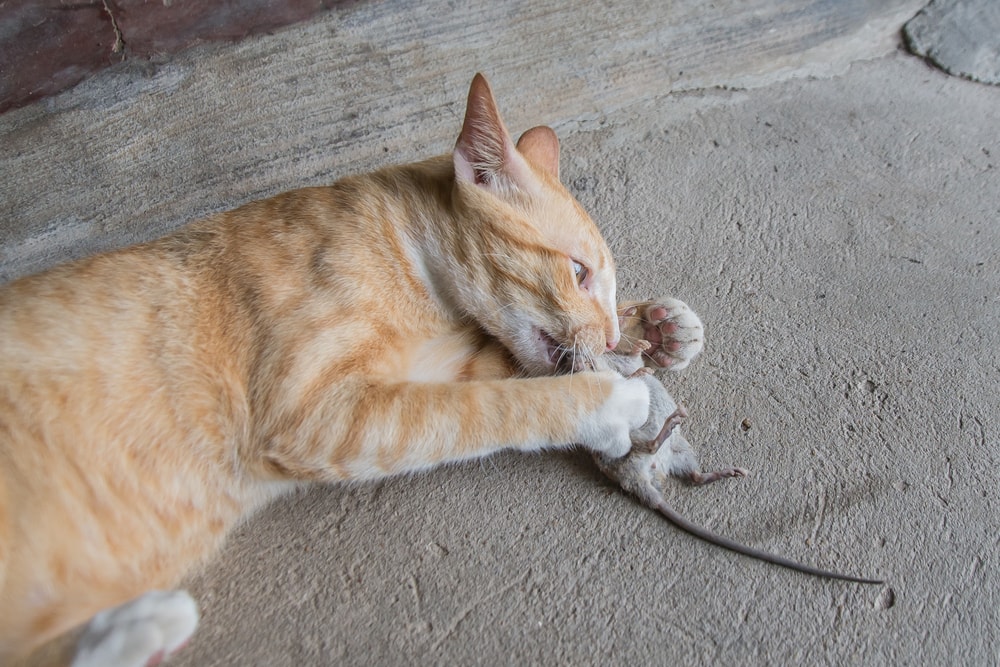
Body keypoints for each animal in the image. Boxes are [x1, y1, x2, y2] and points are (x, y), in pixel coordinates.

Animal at [0, 74, 704, 667]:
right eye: (578, 273)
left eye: (603, 286)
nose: (610, 330)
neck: (421, 281)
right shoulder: (320, 412)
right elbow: (495, 407)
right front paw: (611, 399)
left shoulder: (441, 367)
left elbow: (513, 373)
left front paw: (654, 329)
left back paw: (137, 628)